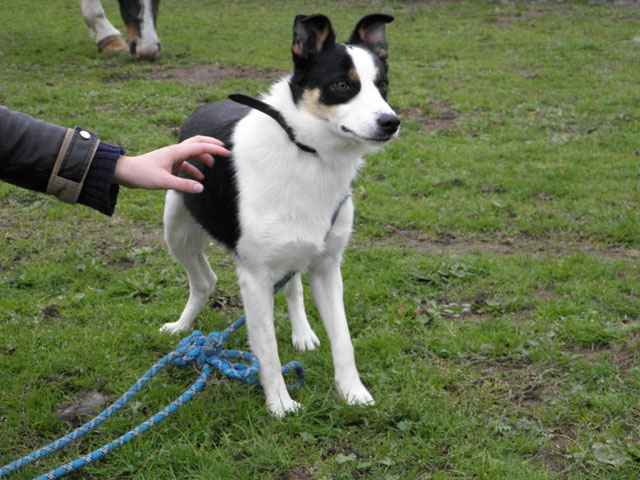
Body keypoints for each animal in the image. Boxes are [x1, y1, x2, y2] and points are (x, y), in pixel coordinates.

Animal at [161, 13, 400, 414]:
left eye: (382, 86)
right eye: (342, 85)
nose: (391, 122)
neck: (307, 152)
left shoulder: (327, 264)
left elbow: (343, 340)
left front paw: (352, 393)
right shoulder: (254, 276)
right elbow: (268, 352)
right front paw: (281, 406)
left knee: (293, 285)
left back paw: (302, 332)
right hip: (176, 228)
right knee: (204, 281)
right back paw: (182, 327)